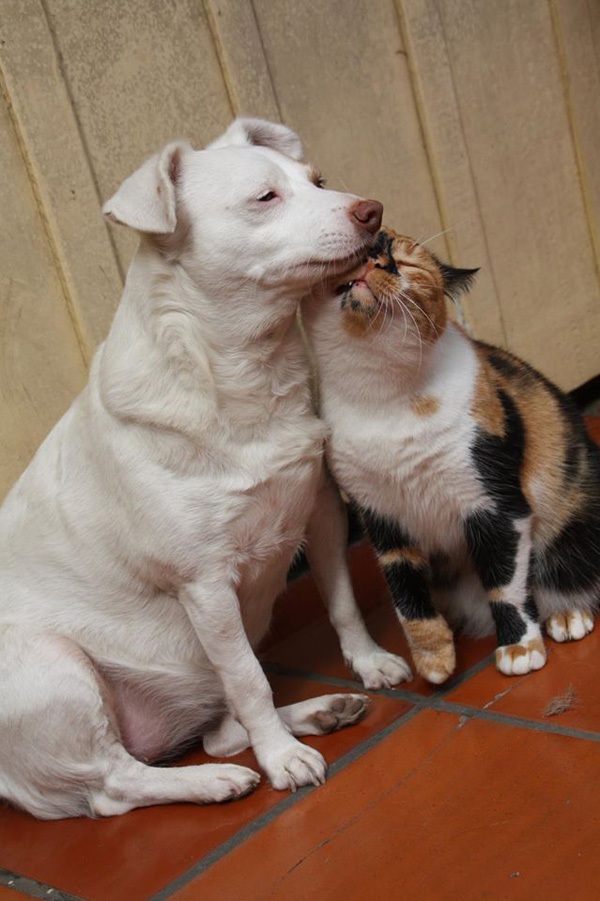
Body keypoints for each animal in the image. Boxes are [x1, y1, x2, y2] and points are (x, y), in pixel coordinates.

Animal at [0, 118, 408, 816]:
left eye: (319, 181)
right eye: (266, 197)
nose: (372, 211)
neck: (244, 375)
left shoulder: (323, 514)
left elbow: (343, 605)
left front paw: (370, 661)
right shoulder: (206, 585)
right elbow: (247, 678)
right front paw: (281, 761)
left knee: (218, 733)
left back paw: (318, 711)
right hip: (56, 668)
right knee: (116, 785)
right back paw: (217, 780)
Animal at [304, 230, 600, 684]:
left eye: (406, 261)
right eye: (366, 249)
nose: (376, 258)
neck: (383, 393)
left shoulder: (495, 503)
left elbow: (505, 583)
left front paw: (519, 647)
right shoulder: (380, 515)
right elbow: (405, 593)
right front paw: (433, 658)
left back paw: (566, 615)